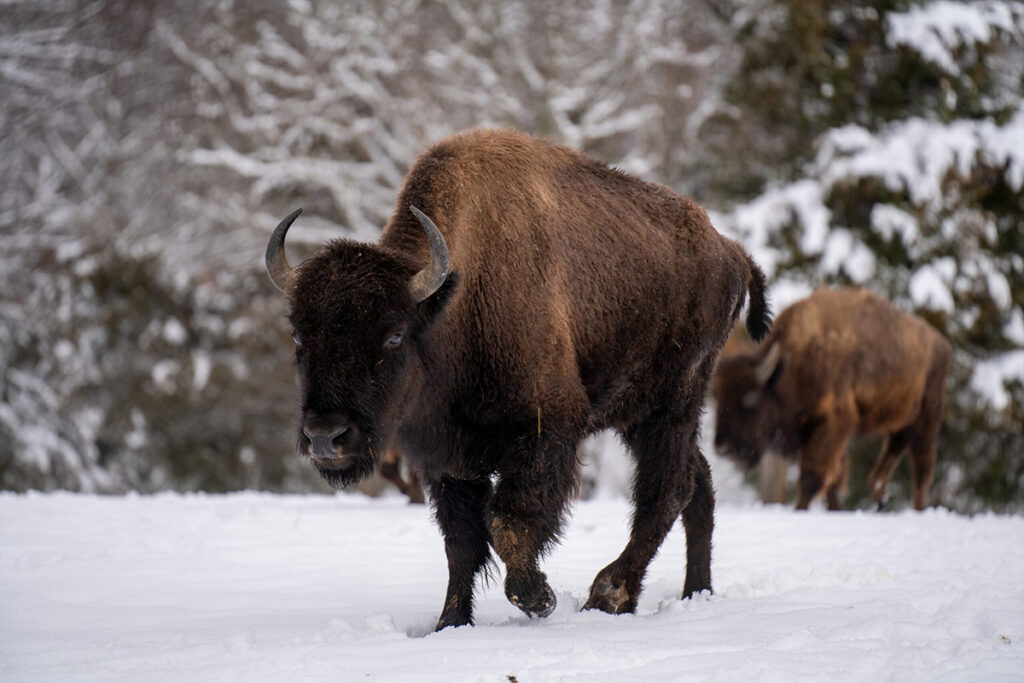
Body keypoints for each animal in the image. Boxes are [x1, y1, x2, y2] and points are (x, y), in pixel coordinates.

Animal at [264, 127, 770, 630]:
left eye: (393, 335)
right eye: (298, 334)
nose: (326, 436)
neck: (454, 302)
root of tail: (730, 250)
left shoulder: (548, 429)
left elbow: (508, 521)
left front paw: (538, 598)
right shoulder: (449, 459)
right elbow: (461, 543)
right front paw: (450, 623)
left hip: (672, 403)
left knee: (667, 491)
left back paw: (608, 596)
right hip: (644, 416)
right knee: (696, 483)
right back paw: (694, 592)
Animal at [712, 286, 950, 509]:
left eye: (751, 399)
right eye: (718, 399)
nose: (723, 448)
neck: (790, 365)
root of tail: (940, 342)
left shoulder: (833, 423)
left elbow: (813, 476)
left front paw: (800, 510)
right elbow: (833, 477)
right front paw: (837, 509)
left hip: (927, 418)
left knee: (921, 468)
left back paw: (915, 508)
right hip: (902, 416)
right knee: (897, 445)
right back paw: (879, 494)